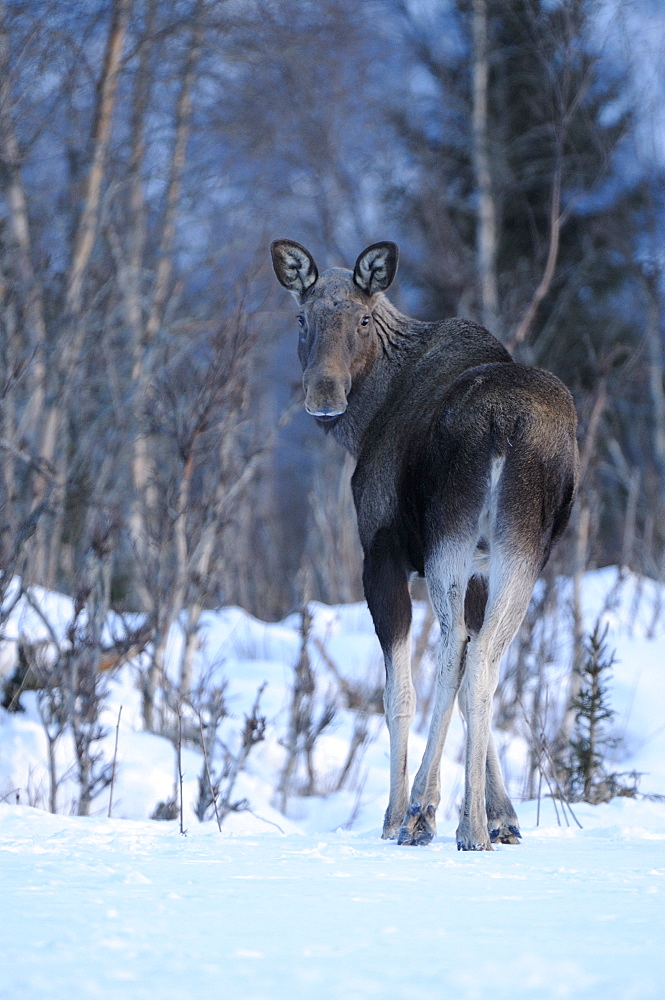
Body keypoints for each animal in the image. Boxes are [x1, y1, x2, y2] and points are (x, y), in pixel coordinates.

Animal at [270, 238, 576, 848]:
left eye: (362, 319)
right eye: (301, 318)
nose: (323, 395)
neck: (366, 421)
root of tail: (505, 424)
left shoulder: (382, 552)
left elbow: (398, 694)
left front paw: (397, 815)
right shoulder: (484, 564)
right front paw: (502, 813)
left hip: (447, 540)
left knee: (457, 651)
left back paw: (423, 814)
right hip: (524, 548)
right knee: (484, 659)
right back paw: (474, 822)